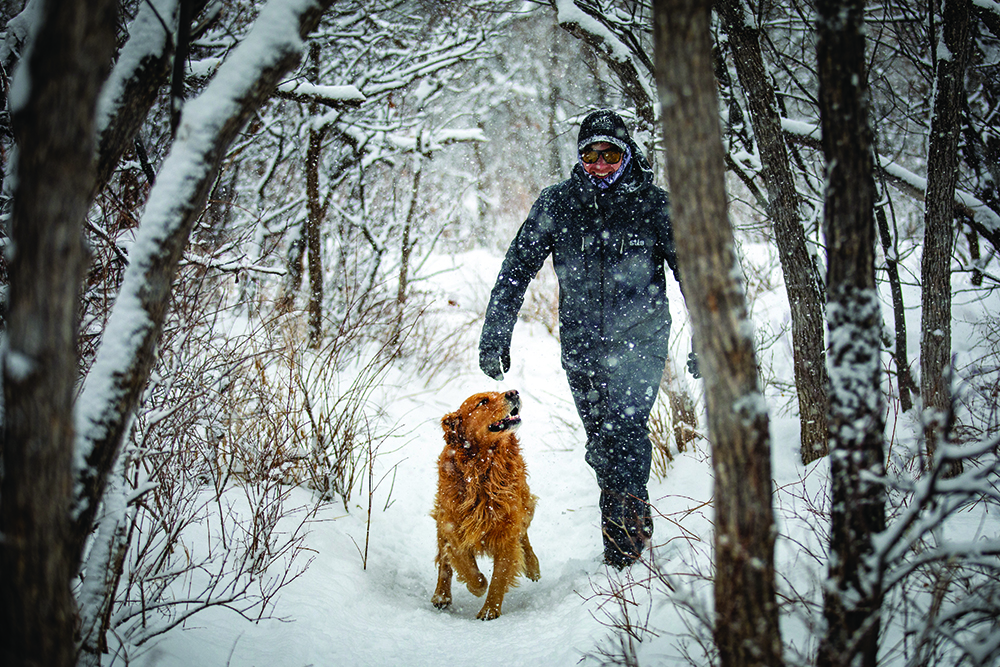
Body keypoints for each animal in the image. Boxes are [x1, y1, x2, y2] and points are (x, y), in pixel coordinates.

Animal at [430, 388, 540, 620]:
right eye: (482, 402)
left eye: (498, 392)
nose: (513, 392)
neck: (483, 469)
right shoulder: (452, 526)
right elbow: (464, 564)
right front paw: (478, 586)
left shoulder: (507, 530)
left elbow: (499, 577)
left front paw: (490, 610)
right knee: (444, 562)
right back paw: (441, 596)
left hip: (524, 504)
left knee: (524, 535)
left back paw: (533, 566)